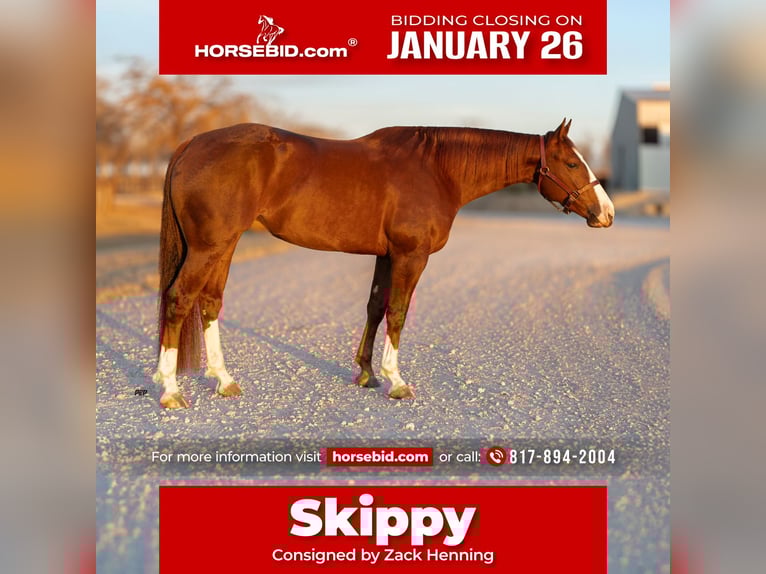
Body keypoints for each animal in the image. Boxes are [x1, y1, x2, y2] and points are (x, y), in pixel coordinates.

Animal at [152, 119, 614, 408]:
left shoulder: (386, 255)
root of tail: (192, 144)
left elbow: (376, 307)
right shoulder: (411, 255)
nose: (606, 213)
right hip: (209, 247)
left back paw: (223, 380)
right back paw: (171, 390)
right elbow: (398, 312)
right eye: (571, 163)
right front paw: (396, 381)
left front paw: (366, 374)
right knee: (179, 299)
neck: (437, 171)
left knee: (209, 302)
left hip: (223, 245)